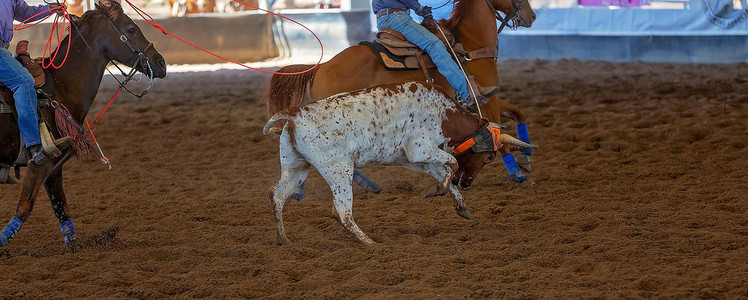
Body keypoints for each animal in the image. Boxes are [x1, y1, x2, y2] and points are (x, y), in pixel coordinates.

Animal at [0, 0, 167, 247]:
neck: (59, 86)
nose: (161, 63)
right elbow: (25, 207)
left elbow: (61, 207)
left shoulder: (55, 167)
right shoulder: (42, 162)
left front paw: (74, 245)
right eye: (131, 29)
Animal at [266, 0, 536, 186]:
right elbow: (499, 139)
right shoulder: (485, 102)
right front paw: (518, 174)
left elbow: (519, 113)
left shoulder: (490, 96)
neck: (469, 44)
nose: (531, 16)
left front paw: (527, 157)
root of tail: (321, 67)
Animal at [266, 81, 536, 244]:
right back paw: (370, 243)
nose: (468, 183)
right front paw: (436, 191)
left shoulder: (415, 158)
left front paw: (460, 205)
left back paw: (284, 240)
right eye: (489, 157)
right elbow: (452, 163)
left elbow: (443, 173)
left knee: (277, 195)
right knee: (341, 211)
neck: (444, 113)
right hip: (338, 171)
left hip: (296, 167)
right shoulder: (420, 148)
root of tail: (295, 114)